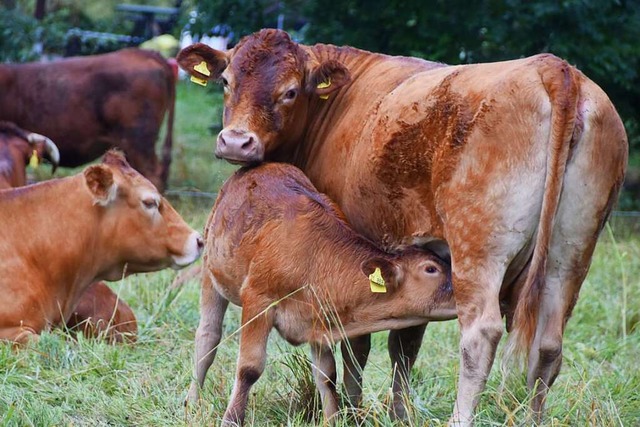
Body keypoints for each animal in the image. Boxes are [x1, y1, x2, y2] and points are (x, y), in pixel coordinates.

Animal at [188, 163, 458, 424]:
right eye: (431, 269)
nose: (460, 286)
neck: (314, 257)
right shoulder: (257, 299)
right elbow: (249, 368)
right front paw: (231, 419)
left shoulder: (319, 321)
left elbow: (327, 376)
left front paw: (332, 418)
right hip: (211, 272)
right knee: (207, 337)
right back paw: (192, 401)